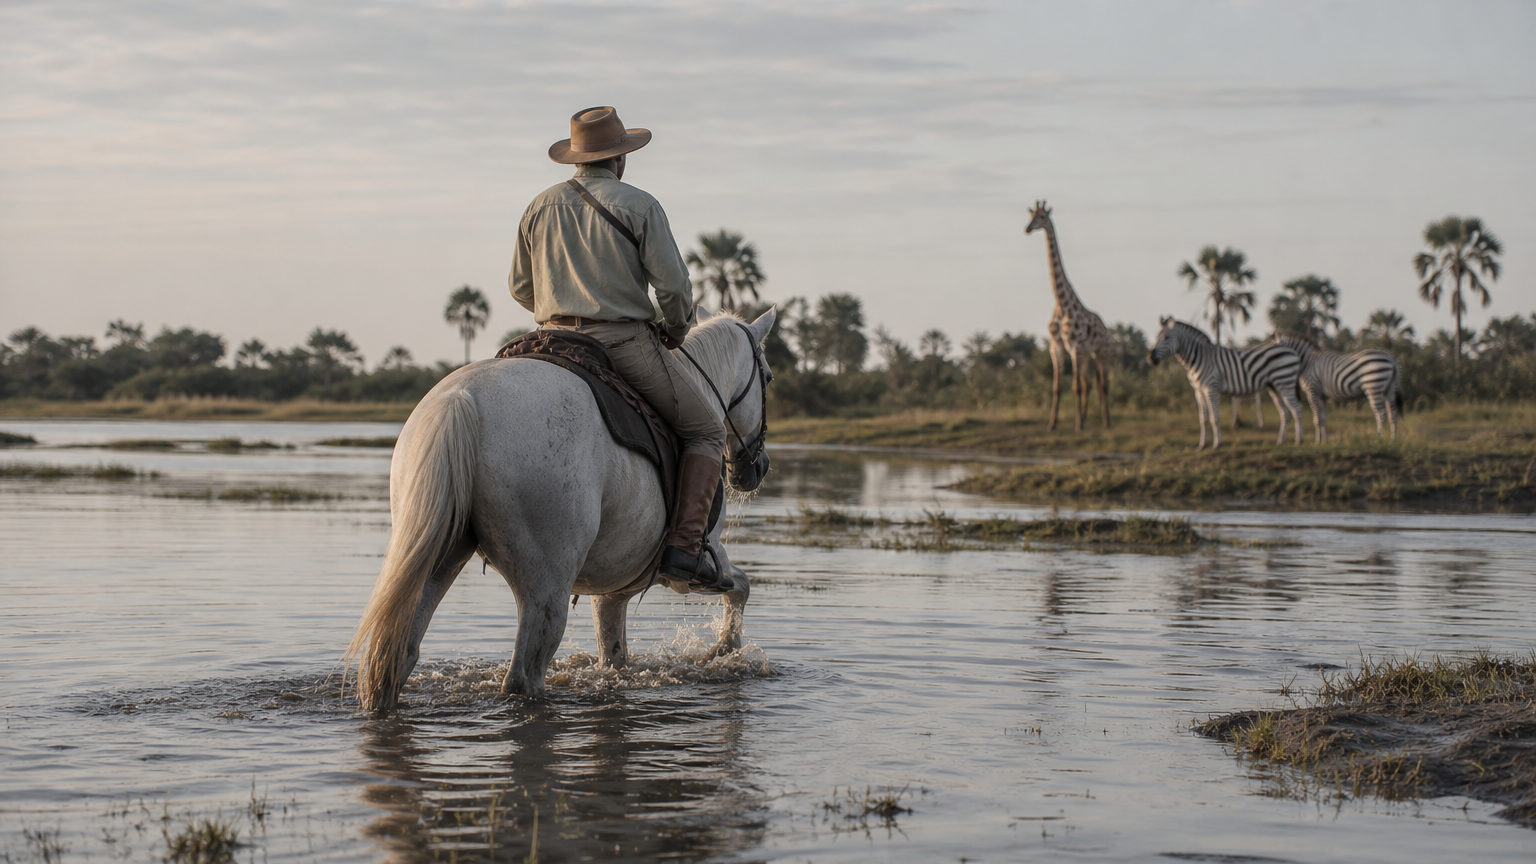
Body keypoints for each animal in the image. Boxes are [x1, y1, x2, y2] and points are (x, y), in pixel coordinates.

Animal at [1025, 201, 1113, 431]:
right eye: (1030, 216)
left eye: (1042, 218)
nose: (1027, 229)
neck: (1061, 304)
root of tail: (1106, 329)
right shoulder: (1057, 346)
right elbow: (1058, 387)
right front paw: (1053, 424)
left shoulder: (1075, 347)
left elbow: (1076, 386)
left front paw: (1078, 425)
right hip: (1087, 355)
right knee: (1090, 383)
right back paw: (1085, 418)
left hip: (1101, 352)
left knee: (1104, 384)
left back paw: (1106, 422)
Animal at [1147, 317, 1304, 450]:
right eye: (1156, 338)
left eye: (1166, 338)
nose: (1150, 358)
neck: (1198, 358)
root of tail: (1290, 350)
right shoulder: (1198, 391)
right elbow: (1203, 419)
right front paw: (1202, 445)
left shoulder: (1210, 388)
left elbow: (1214, 418)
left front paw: (1217, 444)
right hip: (1274, 387)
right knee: (1285, 413)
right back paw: (1281, 441)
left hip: (1285, 383)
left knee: (1297, 409)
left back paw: (1298, 441)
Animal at [1269, 333, 1403, 442]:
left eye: (1274, 352)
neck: (1307, 362)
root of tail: (1391, 358)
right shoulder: (1322, 396)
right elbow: (1323, 418)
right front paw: (1324, 441)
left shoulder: (1312, 390)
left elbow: (1317, 418)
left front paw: (1317, 441)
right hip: (1389, 389)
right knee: (1393, 414)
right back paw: (1393, 439)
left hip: (1373, 386)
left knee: (1381, 413)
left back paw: (1378, 439)